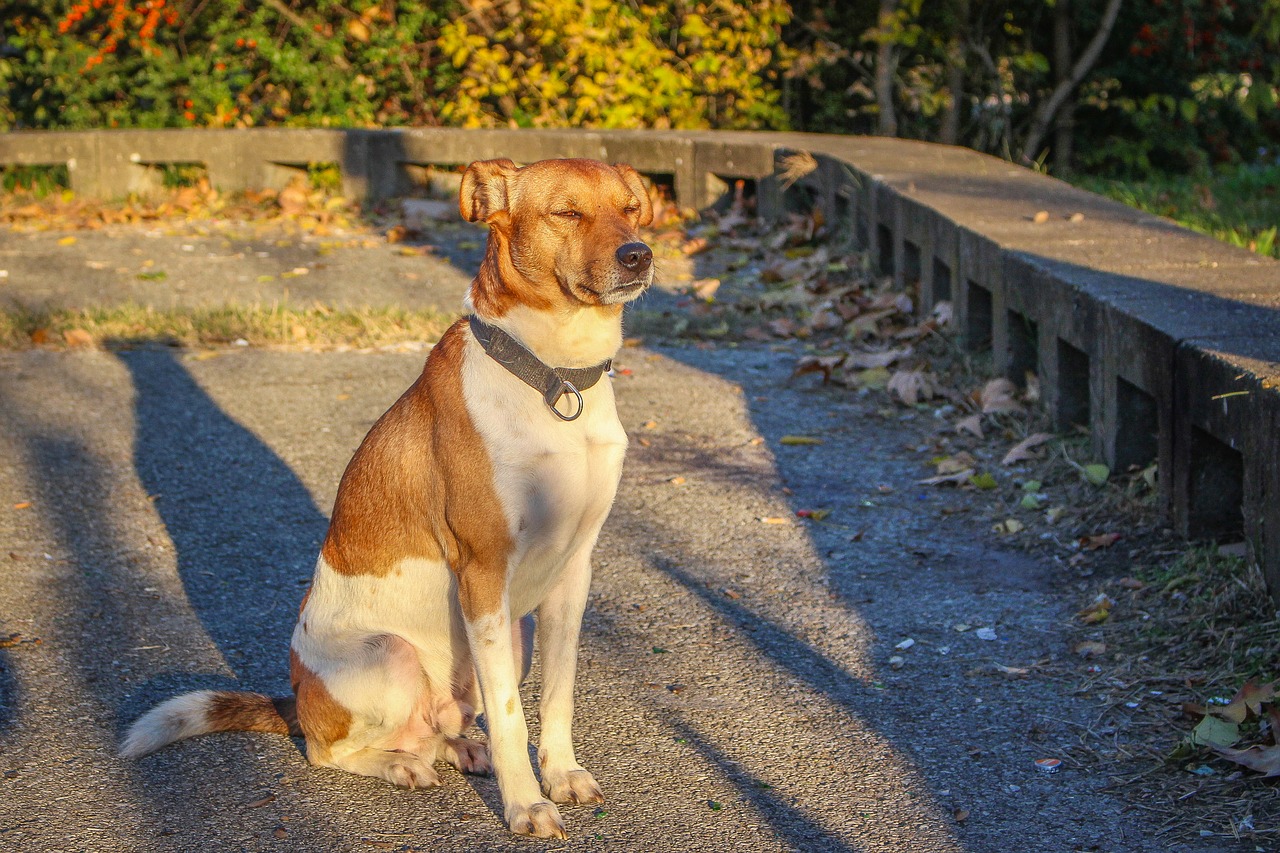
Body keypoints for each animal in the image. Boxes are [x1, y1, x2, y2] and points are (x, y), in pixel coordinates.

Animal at [120, 156, 655, 835]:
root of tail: (297, 699)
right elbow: (511, 716)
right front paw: (526, 804)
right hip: (393, 657)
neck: (553, 377)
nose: (638, 255)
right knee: (329, 750)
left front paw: (560, 774)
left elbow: (557, 697)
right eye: (566, 212)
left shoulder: (572, 571)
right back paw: (399, 765)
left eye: (631, 209)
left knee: (438, 728)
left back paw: (458, 748)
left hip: (512, 639)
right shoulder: (484, 574)